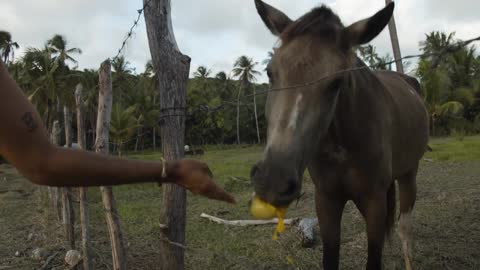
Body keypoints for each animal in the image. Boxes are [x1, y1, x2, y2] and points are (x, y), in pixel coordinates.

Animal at [249, 1, 430, 268]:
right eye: (270, 72)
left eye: (336, 82)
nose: (273, 181)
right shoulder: (327, 201)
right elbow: (330, 256)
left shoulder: (374, 203)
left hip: (409, 174)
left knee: (405, 229)